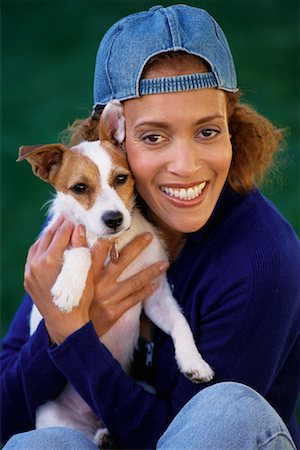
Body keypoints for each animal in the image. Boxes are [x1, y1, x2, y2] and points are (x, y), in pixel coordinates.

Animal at [17, 99, 213, 446]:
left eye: (121, 179)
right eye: (80, 188)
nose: (113, 219)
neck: (112, 245)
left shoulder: (155, 296)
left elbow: (180, 323)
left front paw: (194, 361)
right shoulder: (66, 241)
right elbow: (80, 248)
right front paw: (69, 287)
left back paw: (107, 436)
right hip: (51, 415)